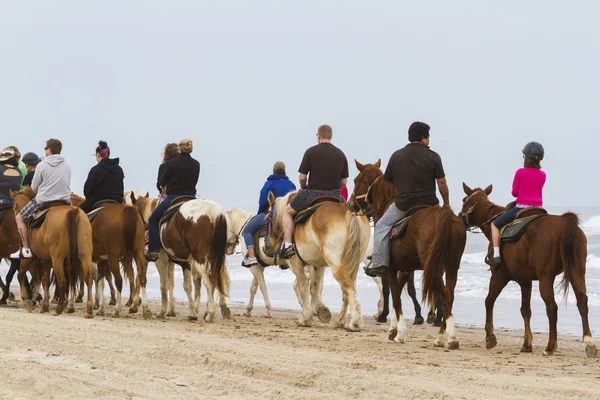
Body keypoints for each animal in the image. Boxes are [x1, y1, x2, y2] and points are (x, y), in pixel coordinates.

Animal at [9, 188, 95, 318]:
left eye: (14, 205)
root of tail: (73, 211)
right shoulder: (46, 260)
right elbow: (45, 281)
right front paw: (44, 305)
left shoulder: (29, 258)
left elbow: (21, 275)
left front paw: (26, 300)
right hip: (84, 255)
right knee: (87, 277)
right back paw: (88, 310)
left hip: (57, 259)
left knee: (63, 281)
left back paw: (59, 309)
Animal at [130, 191, 233, 322]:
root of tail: (215, 212)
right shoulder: (183, 262)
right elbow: (184, 285)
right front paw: (191, 312)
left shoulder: (160, 260)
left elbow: (162, 285)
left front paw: (161, 311)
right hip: (214, 259)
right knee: (214, 279)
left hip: (200, 261)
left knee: (209, 281)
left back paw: (210, 314)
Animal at [266, 191, 370, 332]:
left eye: (267, 219)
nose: (265, 248)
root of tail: (349, 212)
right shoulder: (318, 266)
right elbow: (314, 288)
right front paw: (319, 310)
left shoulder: (296, 264)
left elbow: (303, 288)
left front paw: (305, 318)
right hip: (351, 264)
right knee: (347, 290)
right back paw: (340, 321)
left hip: (337, 265)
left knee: (348, 288)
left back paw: (355, 323)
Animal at [350, 159, 466, 346]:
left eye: (355, 181)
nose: (351, 204)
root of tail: (445, 216)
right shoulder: (406, 269)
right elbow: (398, 293)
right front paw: (393, 328)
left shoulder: (390, 269)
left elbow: (396, 297)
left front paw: (399, 333)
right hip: (451, 267)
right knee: (449, 296)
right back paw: (442, 336)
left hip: (432, 268)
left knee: (442, 295)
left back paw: (451, 337)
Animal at [460, 183, 596, 358]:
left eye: (464, 200)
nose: (458, 216)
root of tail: (565, 222)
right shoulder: (525, 281)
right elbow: (525, 310)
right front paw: (526, 343)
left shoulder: (499, 275)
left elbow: (489, 301)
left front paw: (490, 337)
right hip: (577, 271)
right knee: (582, 302)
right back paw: (589, 343)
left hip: (546, 277)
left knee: (552, 307)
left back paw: (550, 346)